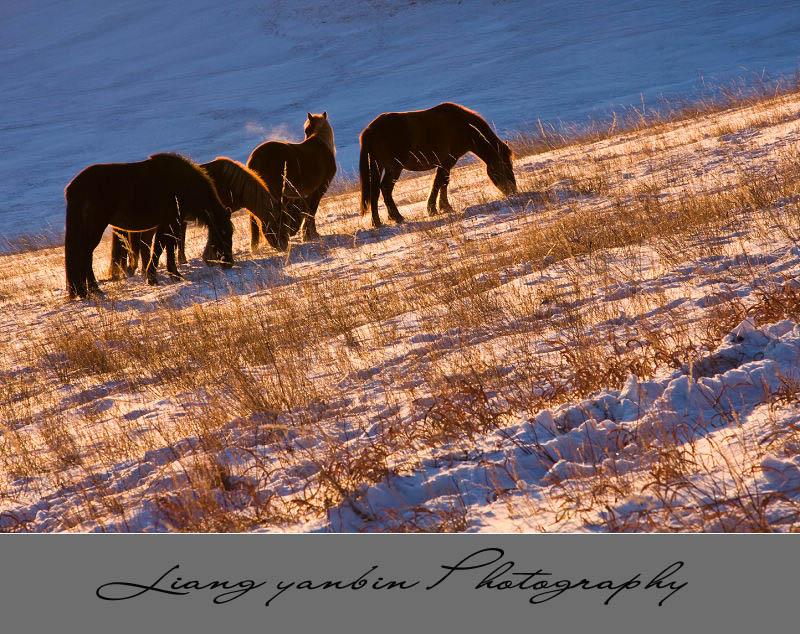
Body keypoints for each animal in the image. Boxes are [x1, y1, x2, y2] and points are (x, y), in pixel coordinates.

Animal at [63, 154, 233, 302]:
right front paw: (171, 275)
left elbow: (160, 247)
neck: (183, 183)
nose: (229, 263)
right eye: (224, 232)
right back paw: (93, 290)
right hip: (96, 227)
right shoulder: (172, 222)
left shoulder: (164, 224)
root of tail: (73, 188)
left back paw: (84, 292)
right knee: (85, 255)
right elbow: (164, 248)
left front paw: (155, 276)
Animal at [245, 111, 336, 247]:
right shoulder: (319, 189)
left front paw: (307, 235)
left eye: (307, 130)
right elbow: (311, 212)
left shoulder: (305, 194)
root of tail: (255, 157)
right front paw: (311, 235)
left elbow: (306, 212)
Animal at [358, 100, 520, 226]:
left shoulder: (446, 163)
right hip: (394, 167)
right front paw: (434, 208)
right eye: (503, 166)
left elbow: (443, 182)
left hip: (378, 166)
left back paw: (378, 222)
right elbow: (439, 182)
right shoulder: (448, 161)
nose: (512, 191)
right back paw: (397, 217)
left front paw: (443, 207)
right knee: (385, 189)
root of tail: (370, 130)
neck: (463, 126)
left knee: (375, 191)